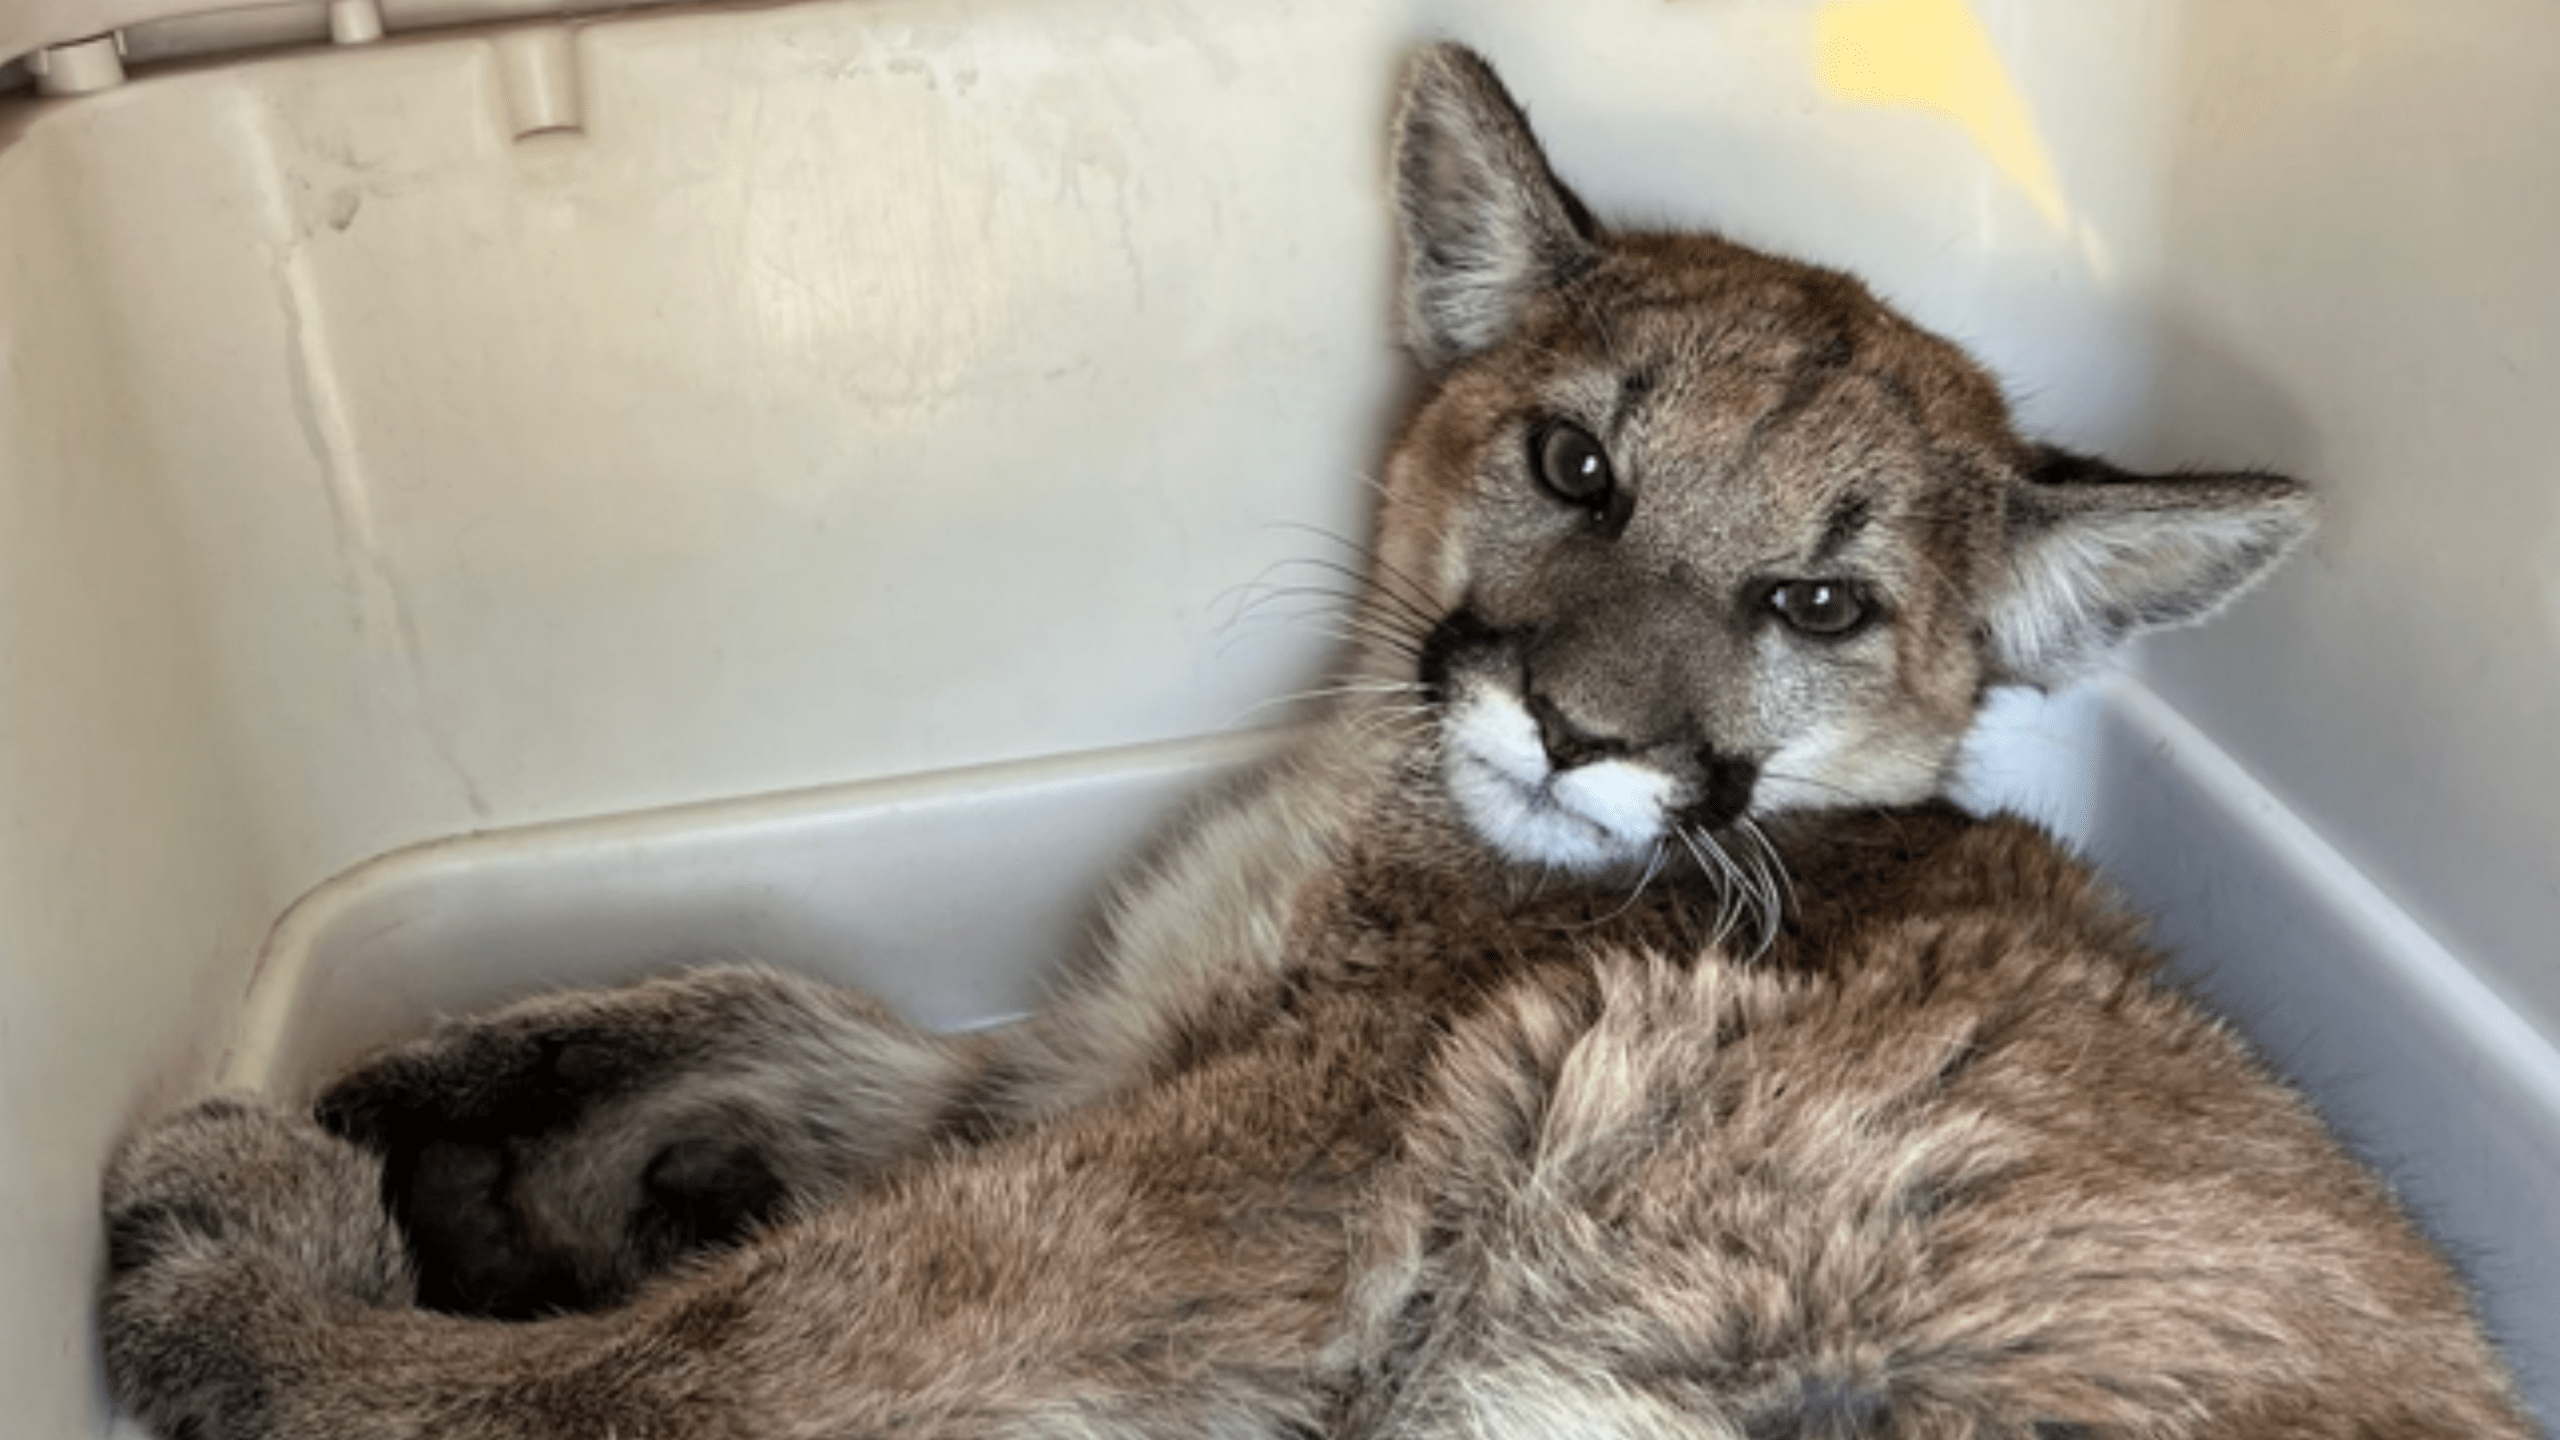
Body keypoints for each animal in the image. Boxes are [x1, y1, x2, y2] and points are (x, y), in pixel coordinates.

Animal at [99, 44, 2539, 1434]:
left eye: (1819, 606)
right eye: (1573, 465)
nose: (1572, 727)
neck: (1361, 793)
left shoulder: (1190, 1196)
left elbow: (711, 1356)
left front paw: (260, 1285)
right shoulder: (1096, 1061)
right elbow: (800, 1009)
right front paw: (457, 1089)